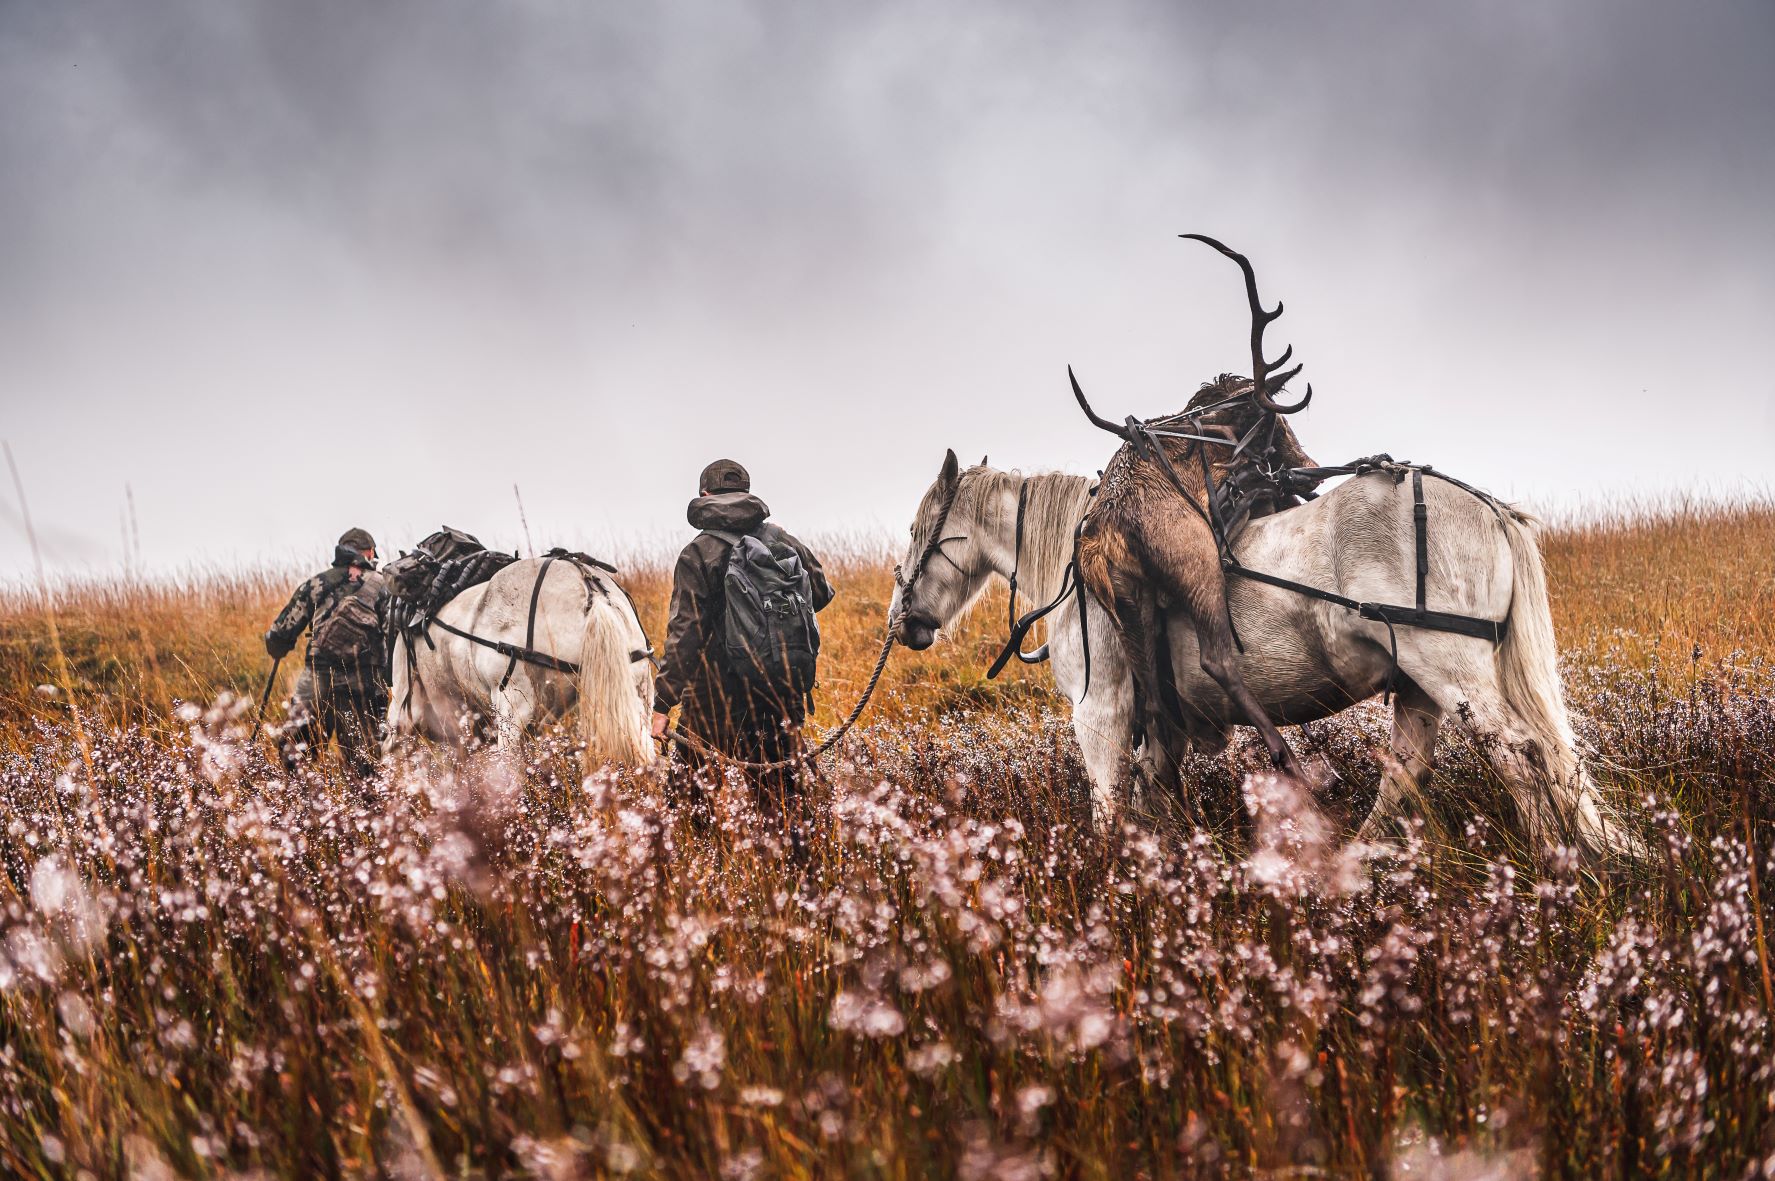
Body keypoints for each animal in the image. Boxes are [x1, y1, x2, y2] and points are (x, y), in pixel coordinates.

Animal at [887, 451, 1633, 856]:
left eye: (919, 527)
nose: (903, 621)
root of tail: (1487, 507)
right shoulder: (1161, 725)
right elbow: (1153, 799)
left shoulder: (1099, 712)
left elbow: (1107, 807)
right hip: (1421, 686)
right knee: (1408, 772)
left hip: (1450, 672)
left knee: (1518, 754)